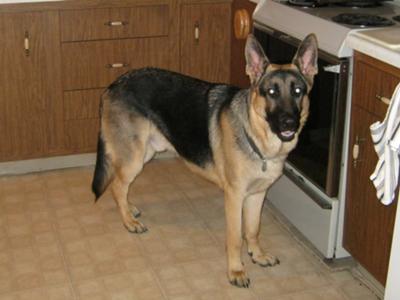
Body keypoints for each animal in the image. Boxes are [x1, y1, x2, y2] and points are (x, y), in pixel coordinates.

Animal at [91, 34, 318, 288]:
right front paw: (236, 271)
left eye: (298, 91)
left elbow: (253, 229)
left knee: (121, 186)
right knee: (117, 186)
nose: (289, 123)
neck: (256, 136)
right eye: (271, 92)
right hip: (135, 158)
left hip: (145, 152)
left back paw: (129, 210)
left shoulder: (258, 195)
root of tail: (112, 85)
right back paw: (128, 222)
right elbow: (235, 238)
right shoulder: (234, 197)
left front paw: (258, 255)